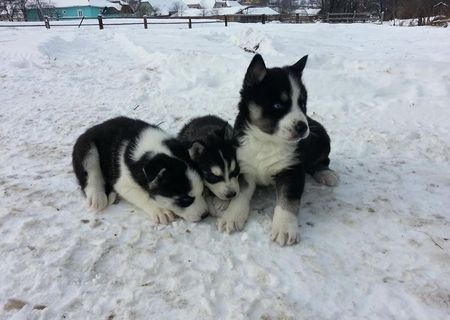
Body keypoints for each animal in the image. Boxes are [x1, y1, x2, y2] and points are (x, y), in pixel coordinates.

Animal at [73, 116, 208, 224]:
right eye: (185, 200)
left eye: (202, 191)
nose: (205, 215)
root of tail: (94, 128)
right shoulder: (123, 183)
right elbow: (143, 195)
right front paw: (160, 210)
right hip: (87, 149)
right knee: (91, 175)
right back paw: (97, 197)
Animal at [217, 54, 338, 245]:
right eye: (278, 106)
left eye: (303, 104)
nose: (303, 127)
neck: (267, 141)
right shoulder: (244, 167)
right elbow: (240, 194)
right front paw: (232, 216)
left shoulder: (292, 169)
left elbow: (288, 201)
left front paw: (285, 229)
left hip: (323, 138)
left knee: (322, 160)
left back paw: (326, 174)